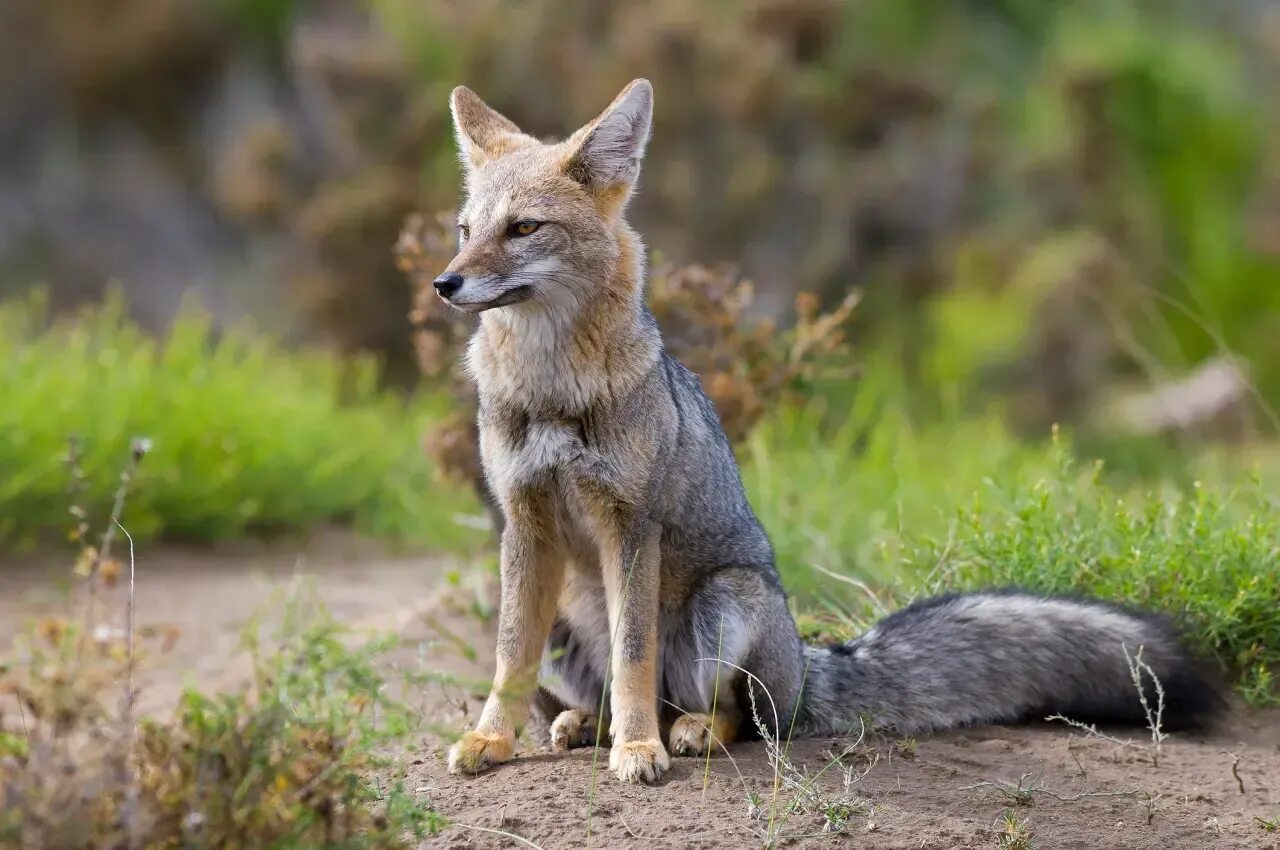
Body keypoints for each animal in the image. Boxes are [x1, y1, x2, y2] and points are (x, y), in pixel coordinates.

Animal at [435, 79, 1223, 783]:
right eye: (466, 231)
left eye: (524, 228)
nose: (444, 283)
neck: (550, 389)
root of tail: (809, 661)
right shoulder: (524, 522)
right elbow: (509, 658)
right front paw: (491, 741)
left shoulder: (630, 526)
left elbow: (633, 661)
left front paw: (637, 754)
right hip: (569, 618)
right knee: (611, 692)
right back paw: (584, 725)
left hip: (724, 605)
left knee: (734, 716)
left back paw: (679, 733)